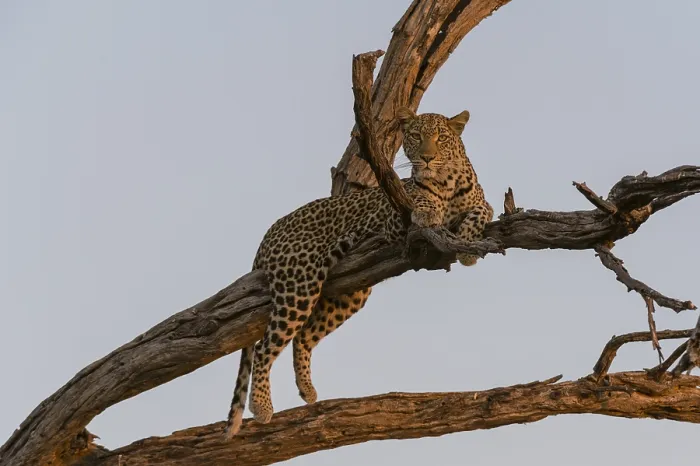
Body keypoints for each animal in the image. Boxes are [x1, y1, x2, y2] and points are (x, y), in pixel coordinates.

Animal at [224, 107, 494, 438]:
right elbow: (422, 203)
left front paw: (467, 247)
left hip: (348, 293)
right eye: (416, 136)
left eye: (441, 137)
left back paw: (307, 390)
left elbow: (480, 211)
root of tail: (268, 233)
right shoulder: (393, 219)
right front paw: (431, 212)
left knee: (302, 337)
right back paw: (262, 406)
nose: (427, 158)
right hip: (298, 282)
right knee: (265, 347)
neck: (447, 180)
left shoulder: (483, 203)